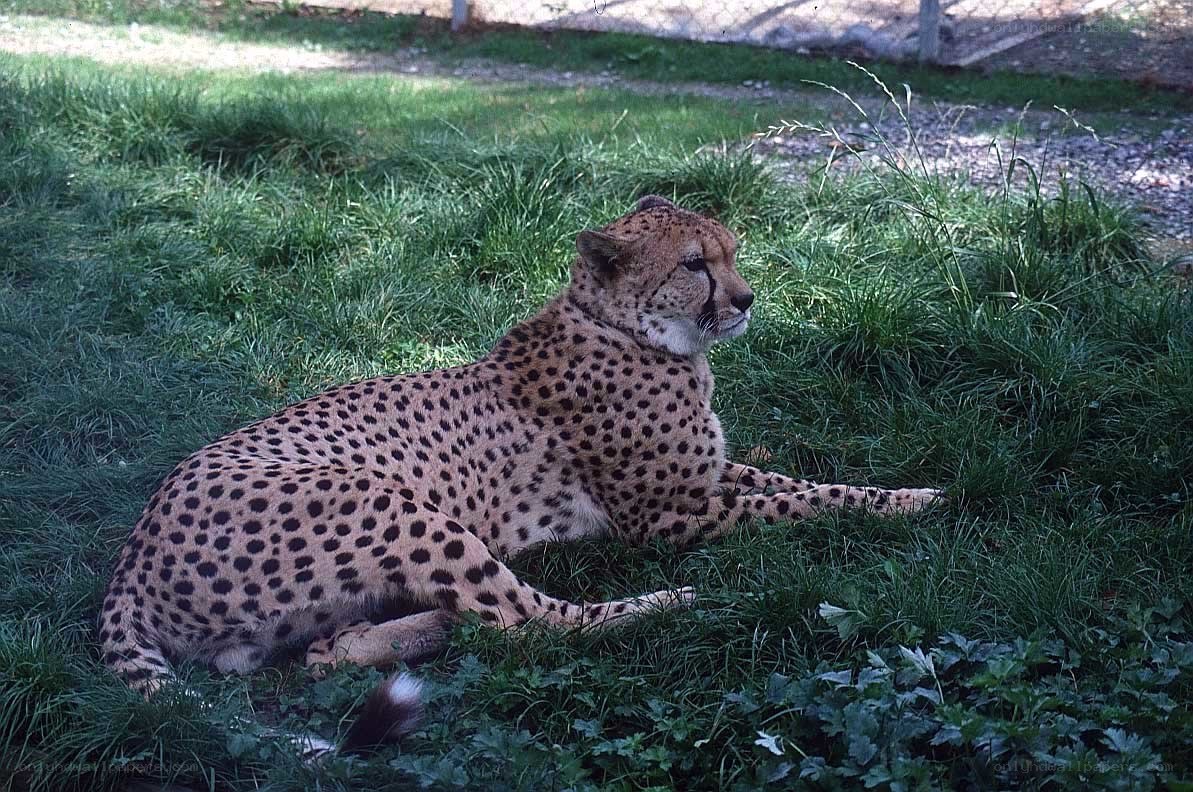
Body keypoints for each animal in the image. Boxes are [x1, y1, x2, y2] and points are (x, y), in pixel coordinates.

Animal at [99, 194, 941, 751]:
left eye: (730, 250)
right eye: (694, 264)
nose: (746, 299)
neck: (629, 330)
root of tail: (133, 551)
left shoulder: (705, 481)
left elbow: (800, 481)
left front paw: (901, 488)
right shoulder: (663, 517)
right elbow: (805, 504)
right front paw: (913, 502)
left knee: (325, 652)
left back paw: (417, 628)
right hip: (390, 502)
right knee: (532, 624)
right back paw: (667, 604)